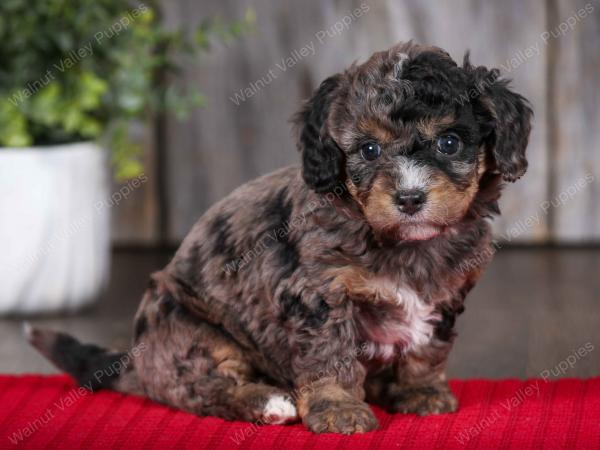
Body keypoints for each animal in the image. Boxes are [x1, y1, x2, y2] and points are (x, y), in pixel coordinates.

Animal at [30, 41, 532, 432]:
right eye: (369, 150)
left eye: (449, 143)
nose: (409, 197)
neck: (405, 243)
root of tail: (139, 359)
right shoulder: (319, 293)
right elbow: (329, 353)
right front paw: (339, 409)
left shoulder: (446, 294)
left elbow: (428, 347)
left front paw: (422, 391)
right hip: (191, 330)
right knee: (204, 387)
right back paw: (269, 402)